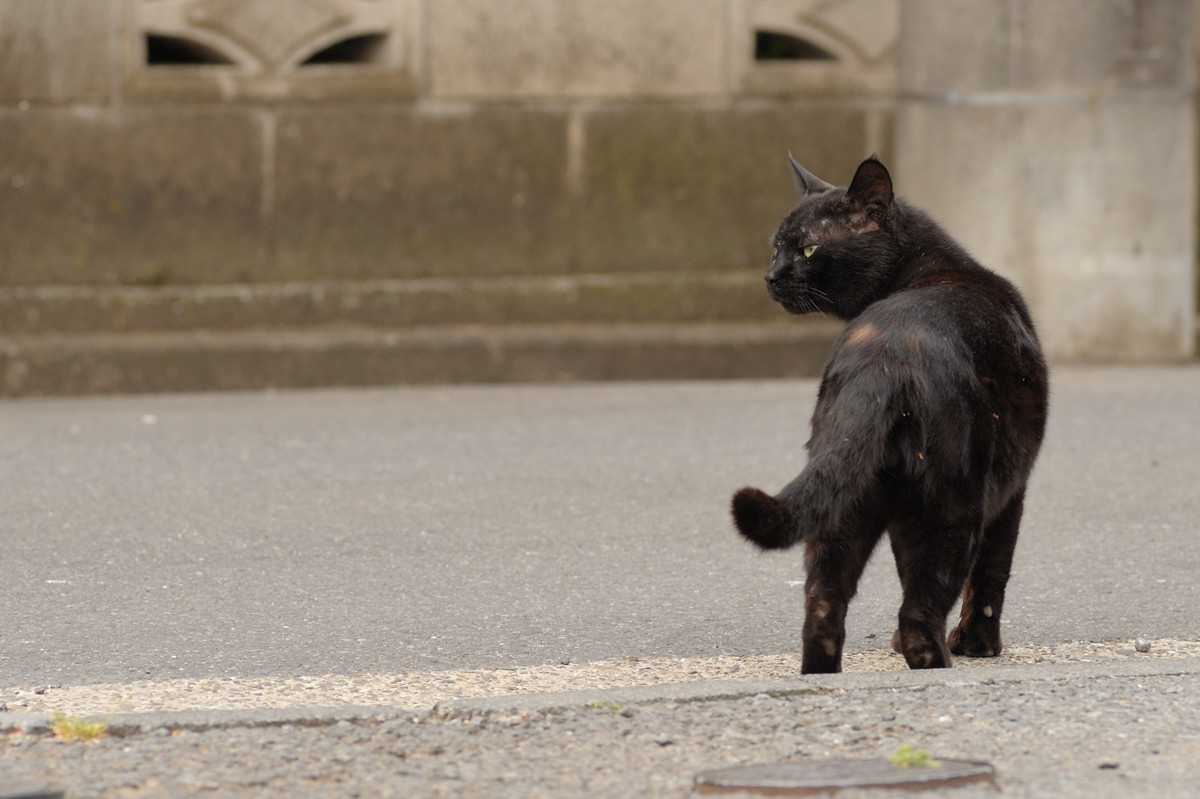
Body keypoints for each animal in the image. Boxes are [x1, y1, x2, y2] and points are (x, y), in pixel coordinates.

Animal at [724, 153, 1046, 671]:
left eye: (807, 250)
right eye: (777, 249)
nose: (769, 277)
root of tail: (882, 362)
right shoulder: (1012, 492)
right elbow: (990, 578)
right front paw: (979, 645)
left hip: (843, 501)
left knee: (824, 606)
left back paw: (823, 674)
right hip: (954, 507)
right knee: (920, 608)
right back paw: (937, 661)